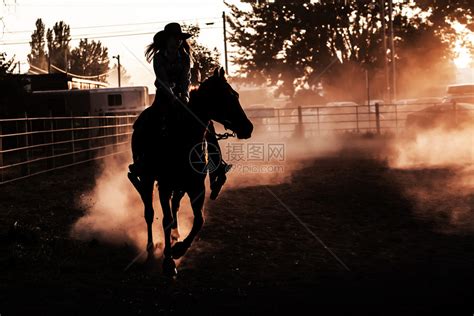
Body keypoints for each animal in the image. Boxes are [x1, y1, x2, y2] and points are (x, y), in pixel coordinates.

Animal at [128, 68, 254, 276]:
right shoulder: (164, 186)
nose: (248, 127)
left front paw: (179, 249)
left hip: (180, 187)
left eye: (235, 95)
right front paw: (168, 261)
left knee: (176, 206)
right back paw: (150, 246)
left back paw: (175, 235)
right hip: (147, 178)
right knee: (149, 212)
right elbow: (166, 219)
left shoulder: (196, 187)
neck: (182, 138)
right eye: (226, 97)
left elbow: (199, 220)